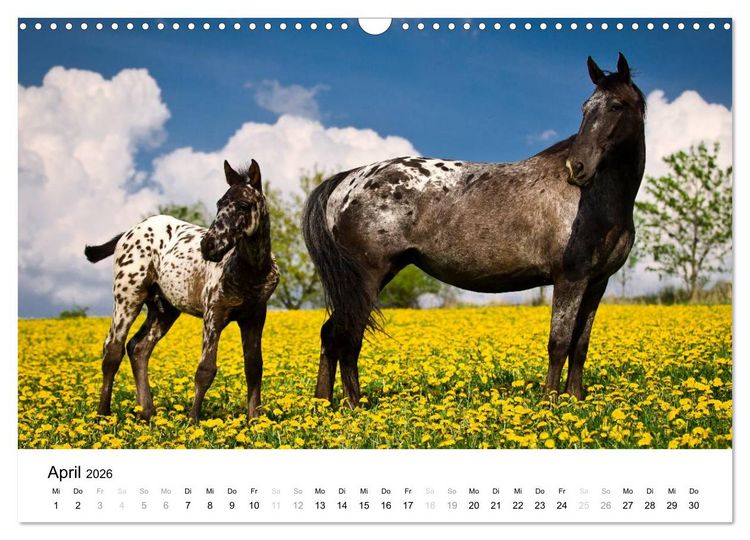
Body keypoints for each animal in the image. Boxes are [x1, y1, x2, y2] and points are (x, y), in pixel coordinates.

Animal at [85, 159, 279, 423]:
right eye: (219, 204)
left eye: (244, 205)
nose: (208, 246)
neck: (251, 270)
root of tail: (130, 231)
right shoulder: (213, 313)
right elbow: (205, 369)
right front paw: (193, 421)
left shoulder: (255, 316)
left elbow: (254, 367)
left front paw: (255, 421)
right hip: (128, 296)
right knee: (113, 349)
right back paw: (103, 415)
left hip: (164, 309)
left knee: (138, 348)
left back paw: (147, 414)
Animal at [303, 53, 645, 407]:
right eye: (585, 108)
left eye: (616, 105)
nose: (577, 167)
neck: (594, 198)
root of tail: (348, 178)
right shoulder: (570, 278)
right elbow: (559, 342)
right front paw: (551, 404)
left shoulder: (596, 283)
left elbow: (580, 345)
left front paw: (574, 399)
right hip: (366, 279)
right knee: (348, 336)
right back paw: (353, 406)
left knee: (331, 333)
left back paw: (323, 404)